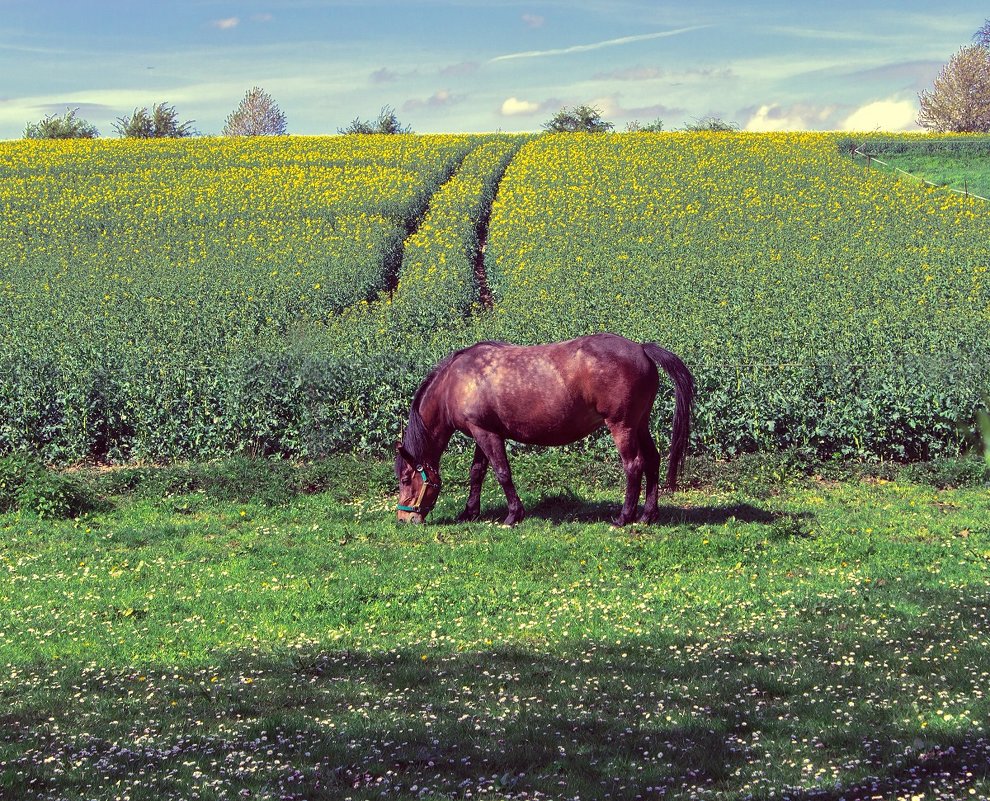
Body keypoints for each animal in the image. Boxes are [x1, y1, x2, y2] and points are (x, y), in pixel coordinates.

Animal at [398, 332, 696, 524]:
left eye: (404, 480)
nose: (403, 518)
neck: (455, 381)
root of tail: (641, 348)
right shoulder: (482, 432)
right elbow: (477, 473)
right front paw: (469, 512)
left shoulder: (487, 434)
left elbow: (502, 473)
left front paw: (513, 515)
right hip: (640, 424)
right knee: (653, 461)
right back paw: (647, 515)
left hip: (622, 426)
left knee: (634, 465)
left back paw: (624, 517)